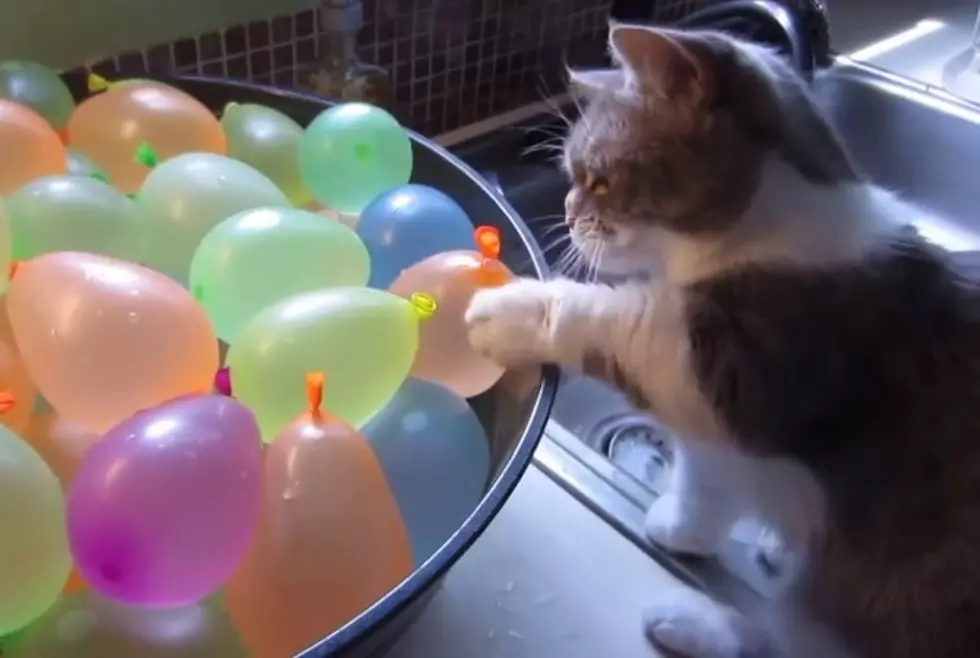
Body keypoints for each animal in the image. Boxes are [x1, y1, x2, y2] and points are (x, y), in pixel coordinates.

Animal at [464, 23, 980, 656]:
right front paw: (684, 529)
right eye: (571, 177)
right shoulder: (712, 441)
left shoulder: (740, 371)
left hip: (884, 594)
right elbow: (701, 484)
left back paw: (690, 622)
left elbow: (615, 321)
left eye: (598, 180)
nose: (565, 210)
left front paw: (505, 309)